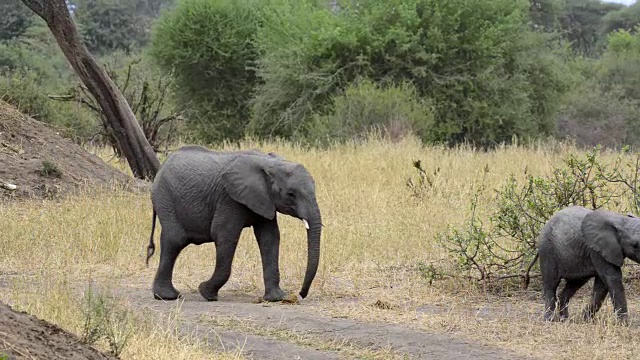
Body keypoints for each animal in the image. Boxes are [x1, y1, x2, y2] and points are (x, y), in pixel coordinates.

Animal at [147, 145, 322, 302]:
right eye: (291, 194)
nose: (301, 294)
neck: (269, 163)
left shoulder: (264, 199)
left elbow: (270, 238)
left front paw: (276, 298)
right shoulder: (229, 198)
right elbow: (225, 235)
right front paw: (206, 292)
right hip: (165, 197)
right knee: (175, 239)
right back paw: (168, 297)